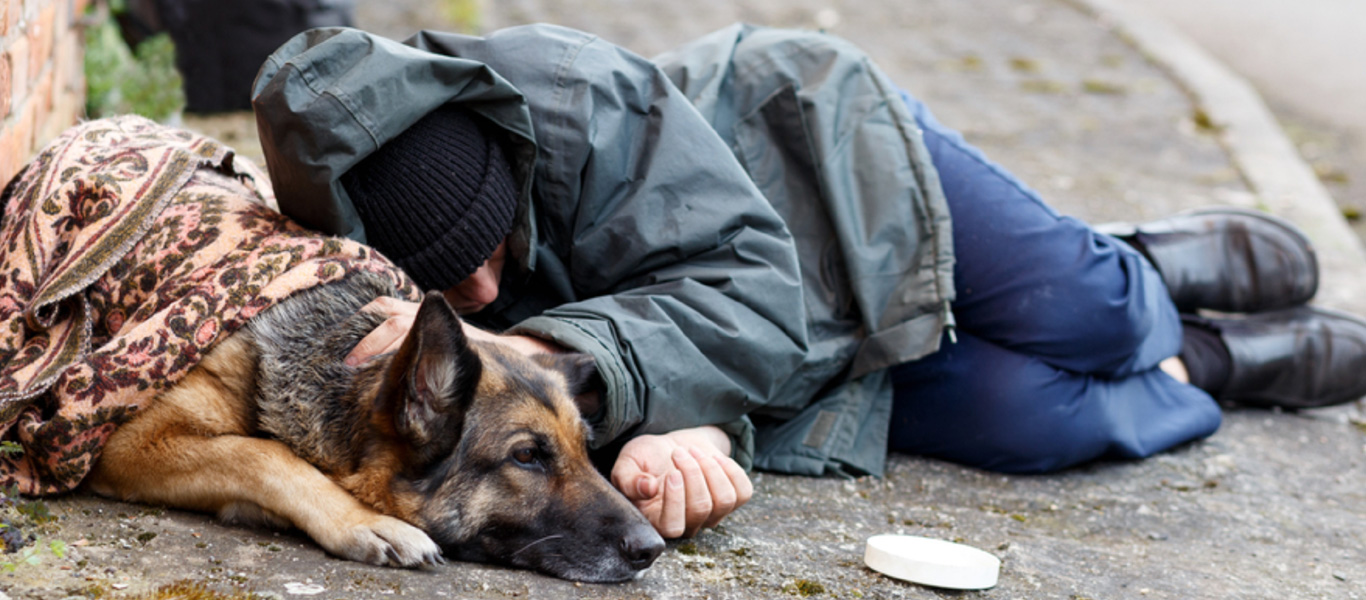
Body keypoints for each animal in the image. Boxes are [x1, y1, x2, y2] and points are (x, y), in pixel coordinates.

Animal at [84, 273, 661, 582]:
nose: (652, 548)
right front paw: (363, 521)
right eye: (526, 456)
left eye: (587, 450)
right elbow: (259, 452)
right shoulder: (127, 444)